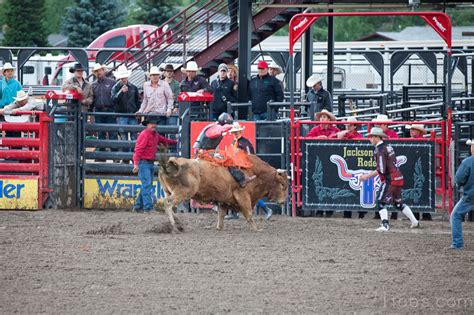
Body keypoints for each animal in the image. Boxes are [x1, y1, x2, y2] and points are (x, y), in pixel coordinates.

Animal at [158, 153, 288, 232]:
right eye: (282, 185)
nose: (283, 201)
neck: (253, 171)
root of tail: (173, 162)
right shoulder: (243, 196)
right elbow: (249, 214)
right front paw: (256, 229)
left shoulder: (225, 201)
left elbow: (221, 214)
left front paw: (219, 228)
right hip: (183, 192)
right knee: (168, 203)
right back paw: (173, 223)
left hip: (168, 191)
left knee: (169, 204)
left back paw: (177, 223)